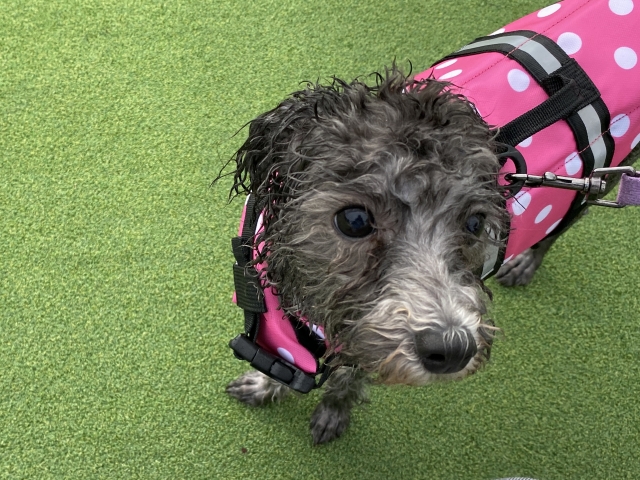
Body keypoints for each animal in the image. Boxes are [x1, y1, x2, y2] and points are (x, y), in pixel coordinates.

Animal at [222, 0, 636, 442]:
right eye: (354, 219)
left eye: (474, 223)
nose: (453, 349)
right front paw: (264, 385)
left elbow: (347, 378)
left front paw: (333, 411)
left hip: (601, 179)